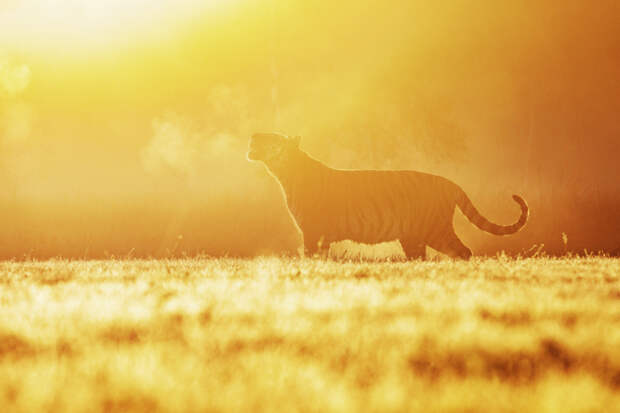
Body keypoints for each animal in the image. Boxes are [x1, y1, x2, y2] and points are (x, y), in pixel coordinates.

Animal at [247, 132, 528, 258]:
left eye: (271, 138)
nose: (254, 134)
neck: (284, 174)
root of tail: (449, 182)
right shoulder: (318, 234)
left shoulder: (314, 231)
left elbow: (311, 256)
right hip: (413, 237)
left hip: (435, 229)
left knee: (463, 251)